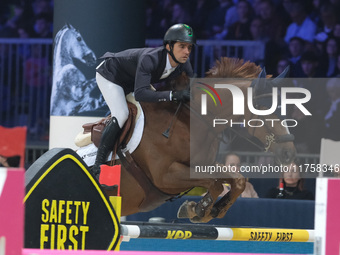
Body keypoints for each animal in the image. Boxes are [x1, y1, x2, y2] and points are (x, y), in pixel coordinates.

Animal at [94, 57, 296, 223]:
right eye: (263, 107)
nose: (289, 152)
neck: (193, 121)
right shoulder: (165, 176)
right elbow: (214, 183)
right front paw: (198, 209)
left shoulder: (204, 165)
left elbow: (238, 181)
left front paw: (210, 209)